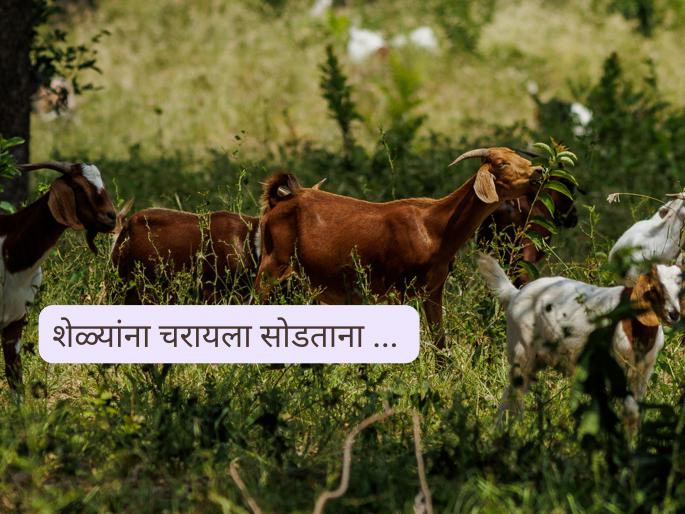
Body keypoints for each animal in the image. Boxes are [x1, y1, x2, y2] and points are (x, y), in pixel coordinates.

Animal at [256, 147, 543, 347]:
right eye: (502, 163)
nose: (539, 171)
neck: (435, 228)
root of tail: (278, 202)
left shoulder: (433, 289)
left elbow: (441, 343)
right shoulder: (396, 287)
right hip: (272, 266)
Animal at [477, 253, 682, 426]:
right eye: (655, 288)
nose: (674, 314)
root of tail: (514, 294)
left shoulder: (643, 371)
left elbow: (633, 410)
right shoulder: (615, 364)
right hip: (521, 351)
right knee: (514, 394)